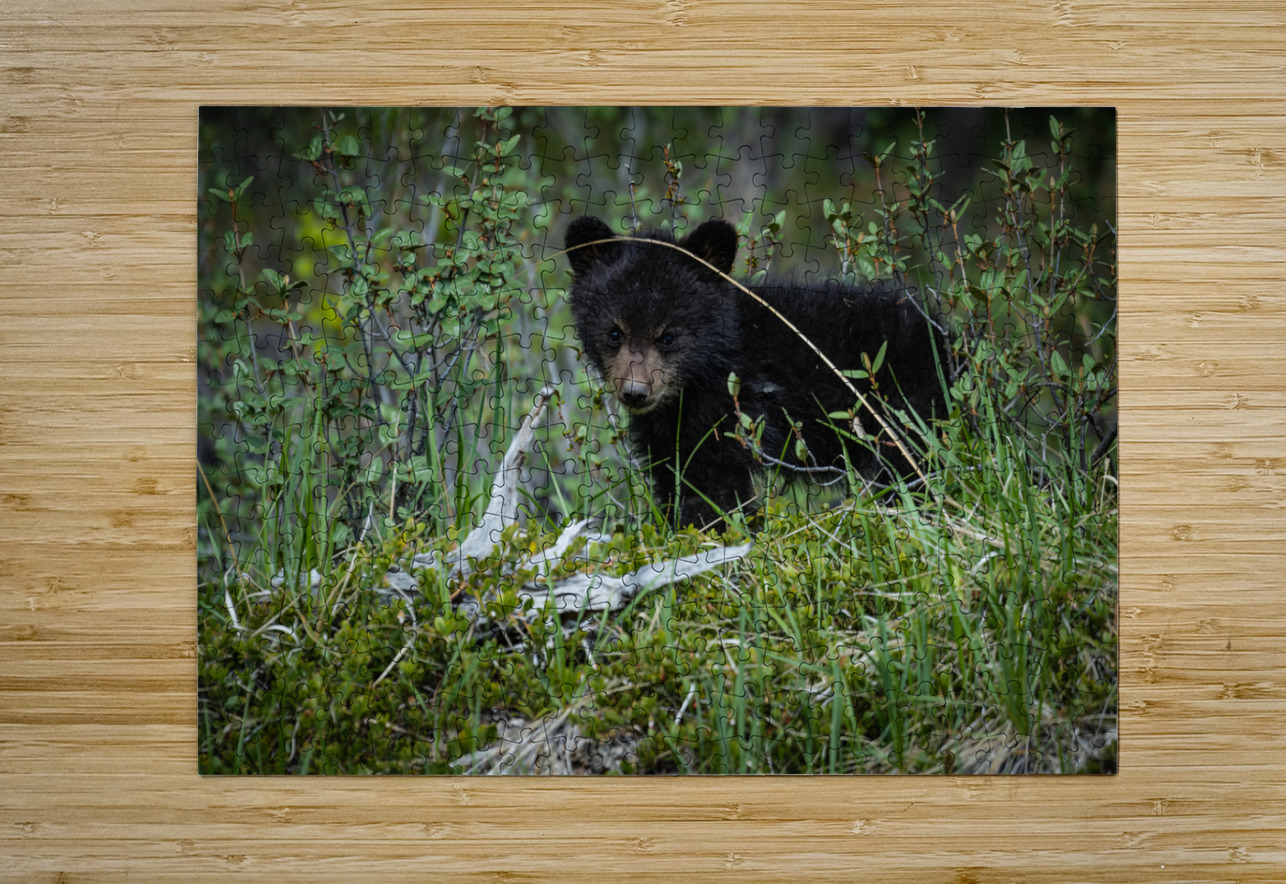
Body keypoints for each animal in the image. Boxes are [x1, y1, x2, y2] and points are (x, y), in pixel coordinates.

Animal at [563, 214, 949, 531]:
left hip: (908, 413)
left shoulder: (733, 412)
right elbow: (674, 477)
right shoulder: (666, 431)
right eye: (615, 332)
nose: (635, 392)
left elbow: (715, 485)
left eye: (668, 336)